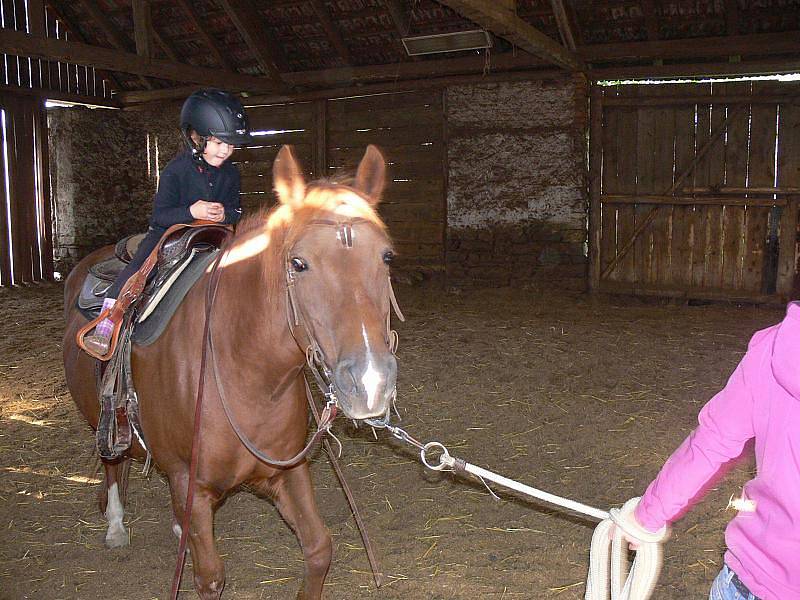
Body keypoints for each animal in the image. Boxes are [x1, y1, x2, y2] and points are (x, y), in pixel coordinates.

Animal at [62, 146, 400, 600]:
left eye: (386, 256)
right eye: (298, 263)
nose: (370, 383)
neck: (247, 373)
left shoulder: (288, 473)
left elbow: (319, 549)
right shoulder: (192, 484)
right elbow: (209, 578)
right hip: (101, 417)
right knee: (111, 461)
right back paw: (115, 524)